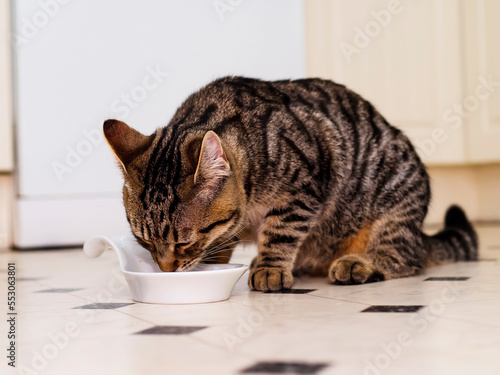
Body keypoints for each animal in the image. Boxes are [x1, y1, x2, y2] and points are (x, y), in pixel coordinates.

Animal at [103, 76, 478, 292]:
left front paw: (270, 267)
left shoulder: (305, 186)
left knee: (406, 258)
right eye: (143, 242)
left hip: (394, 203)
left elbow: (281, 231)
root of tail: (418, 232)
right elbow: (223, 240)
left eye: (184, 243)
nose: (166, 269)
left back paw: (358, 264)